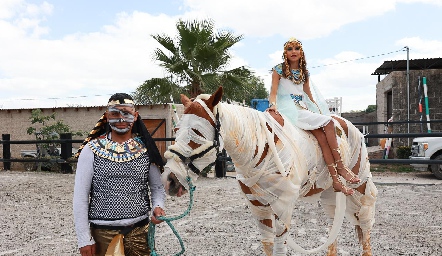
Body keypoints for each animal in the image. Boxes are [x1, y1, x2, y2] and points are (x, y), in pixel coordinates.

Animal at [161, 87, 378, 255]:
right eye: (176, 130)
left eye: (196, 132)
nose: (169, 180)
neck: (259, 148)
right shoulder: (258, 206)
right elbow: (267, 245)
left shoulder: (283, 206)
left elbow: (280, 248)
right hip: (330, 193)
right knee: (334, 229)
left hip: (361, 187)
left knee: (365, 223)